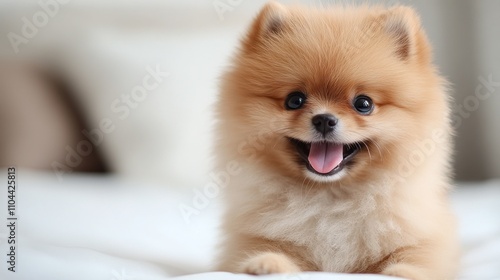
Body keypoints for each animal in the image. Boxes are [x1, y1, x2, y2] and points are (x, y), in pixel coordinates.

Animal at [215, 2, 458, 280]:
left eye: (363, 104)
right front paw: (267, 263)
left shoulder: (424, 237)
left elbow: (417, 258)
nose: (324, 119)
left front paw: (404, 272)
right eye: (294, 100)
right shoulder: (253, 238)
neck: (330, 196)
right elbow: (268, 249)